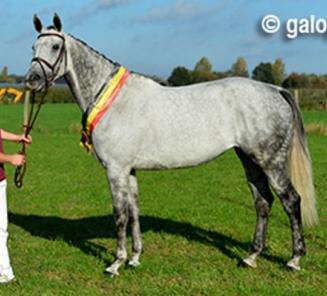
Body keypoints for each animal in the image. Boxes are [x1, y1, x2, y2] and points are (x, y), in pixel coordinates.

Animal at [25, 15, 318, 276]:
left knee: (291, 200)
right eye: (33, 47)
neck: (113, 99)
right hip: (249, 159)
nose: (31, 80)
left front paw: (116, 263)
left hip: (271, 162)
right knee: (263, 202)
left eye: (55, 46)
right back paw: (251, 257)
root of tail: (275, 89)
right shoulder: (130, 170)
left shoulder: (116, 169)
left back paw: (293, 260)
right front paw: (135, 258)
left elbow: (120, 215)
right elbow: (134, 211)